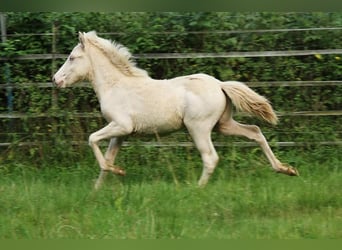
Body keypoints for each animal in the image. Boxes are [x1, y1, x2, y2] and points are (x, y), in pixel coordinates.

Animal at [52, 30, 298, 189]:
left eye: (72, 57)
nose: (55, 80)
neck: (116, 86)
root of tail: (220, 84)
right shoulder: (120, 133)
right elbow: (107, 159)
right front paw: (97, 190)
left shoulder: (121, 125)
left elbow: (92, 140)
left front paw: (119, 172)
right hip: (224, 125)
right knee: (255, 132)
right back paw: (286, 169)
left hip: (199, 128)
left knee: (211, 158)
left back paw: (197, 189)